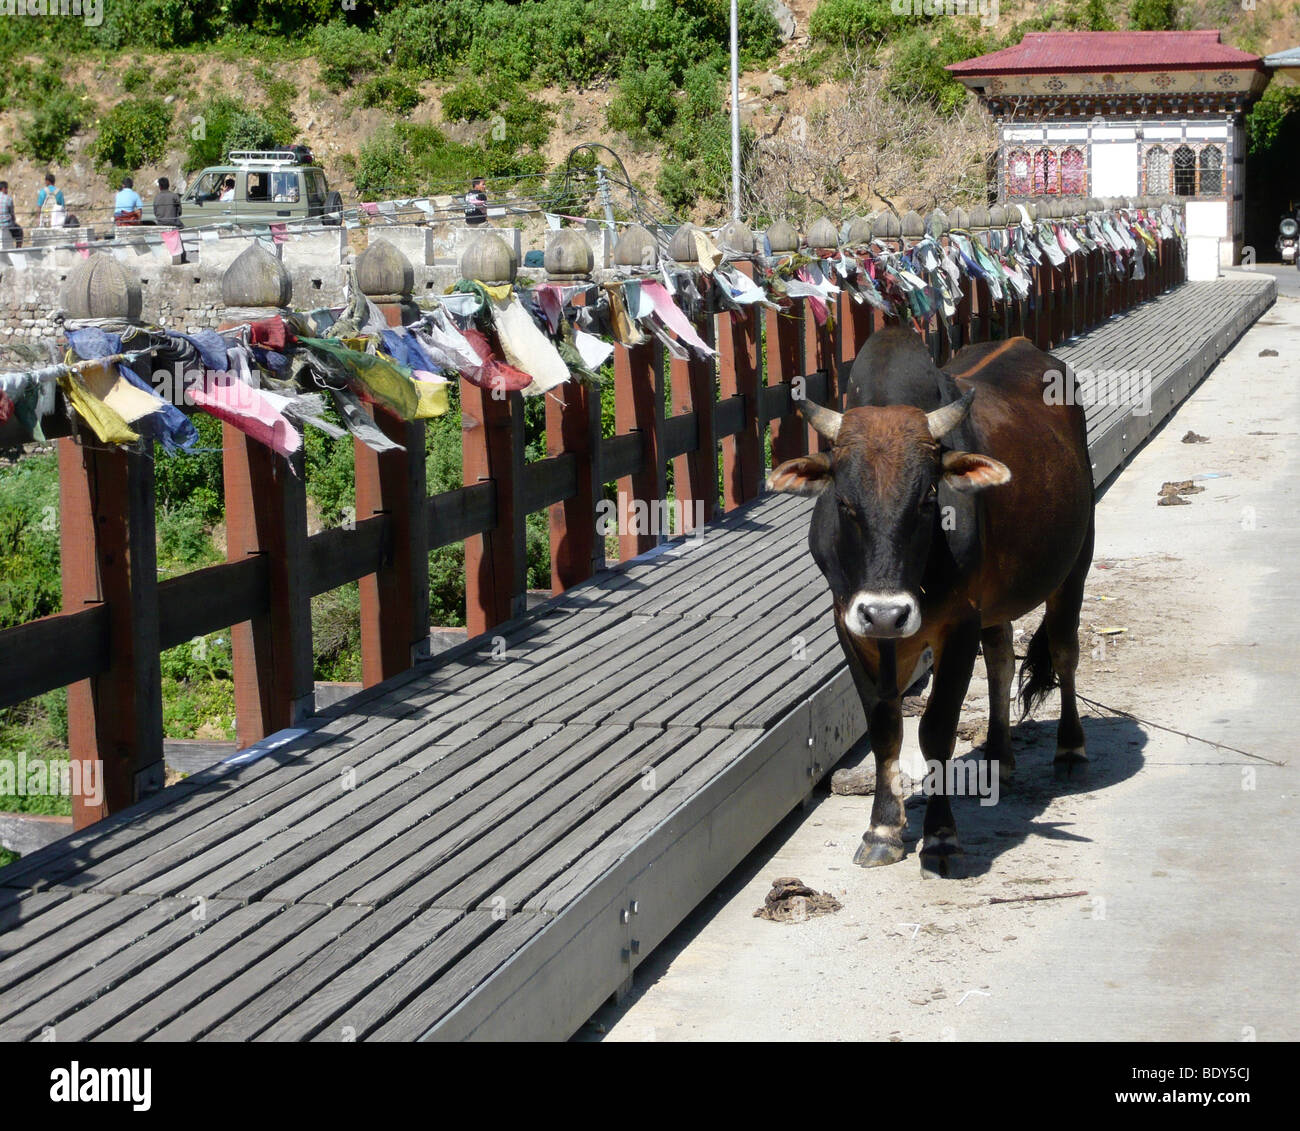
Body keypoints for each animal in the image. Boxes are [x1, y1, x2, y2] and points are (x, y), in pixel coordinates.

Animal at [764, 327, 1092, 878]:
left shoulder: (958, 624)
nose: (886, 612)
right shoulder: (851, 625)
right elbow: (884, 727)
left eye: (927, 499)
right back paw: (997, 755)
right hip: (996, 603)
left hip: (1075, 564)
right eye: (845, 504)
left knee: (1066, 652)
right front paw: (882, 830)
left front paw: (940, 837)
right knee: (1001, 659)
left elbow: (936, 729)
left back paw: (1070, 749)